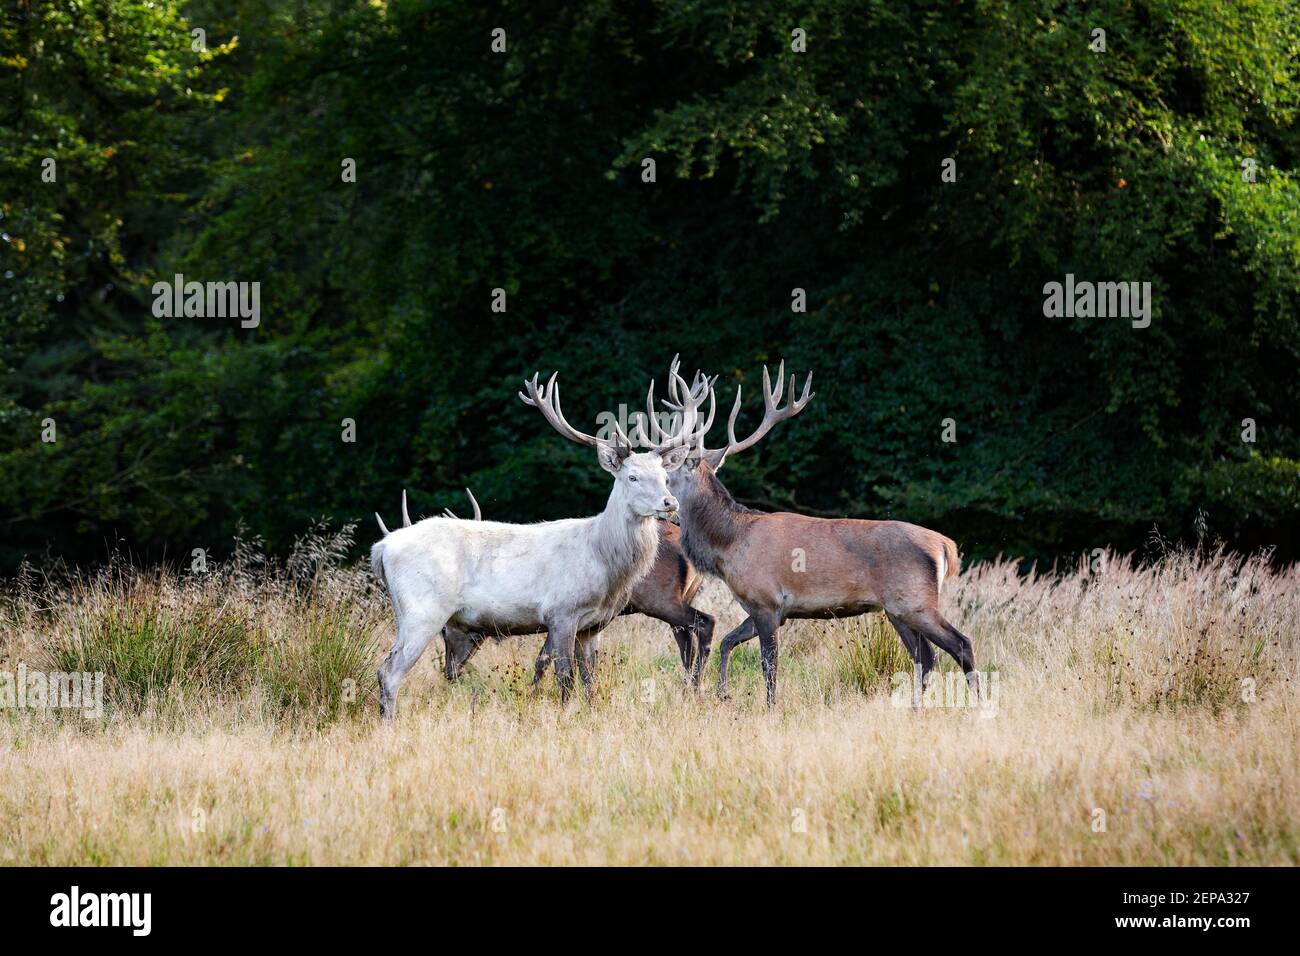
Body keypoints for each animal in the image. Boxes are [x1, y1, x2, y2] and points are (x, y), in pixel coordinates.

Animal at [369, 374, 691, 717]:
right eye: (632, 477)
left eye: (664, 476)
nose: (670, 502)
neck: (603, 563)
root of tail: (383, 548)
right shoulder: (561, 612)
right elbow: (565, 677)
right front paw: (565, 716)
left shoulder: (594, 625)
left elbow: (591, 682)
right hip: (423, 609)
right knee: (389, 672)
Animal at [644, 361, 977, 707]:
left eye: (665, 477)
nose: (660, 505)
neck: (730, 546)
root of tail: (945, 545)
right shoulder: (766, 608)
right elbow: (727, 641)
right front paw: (723, 692)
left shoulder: (768, 600)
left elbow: (768, 665)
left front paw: (770, 708)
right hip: (898, 609)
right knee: (926, 656)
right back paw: (914, 708)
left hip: (915, 600)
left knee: (961, 644)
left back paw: (976, 704)